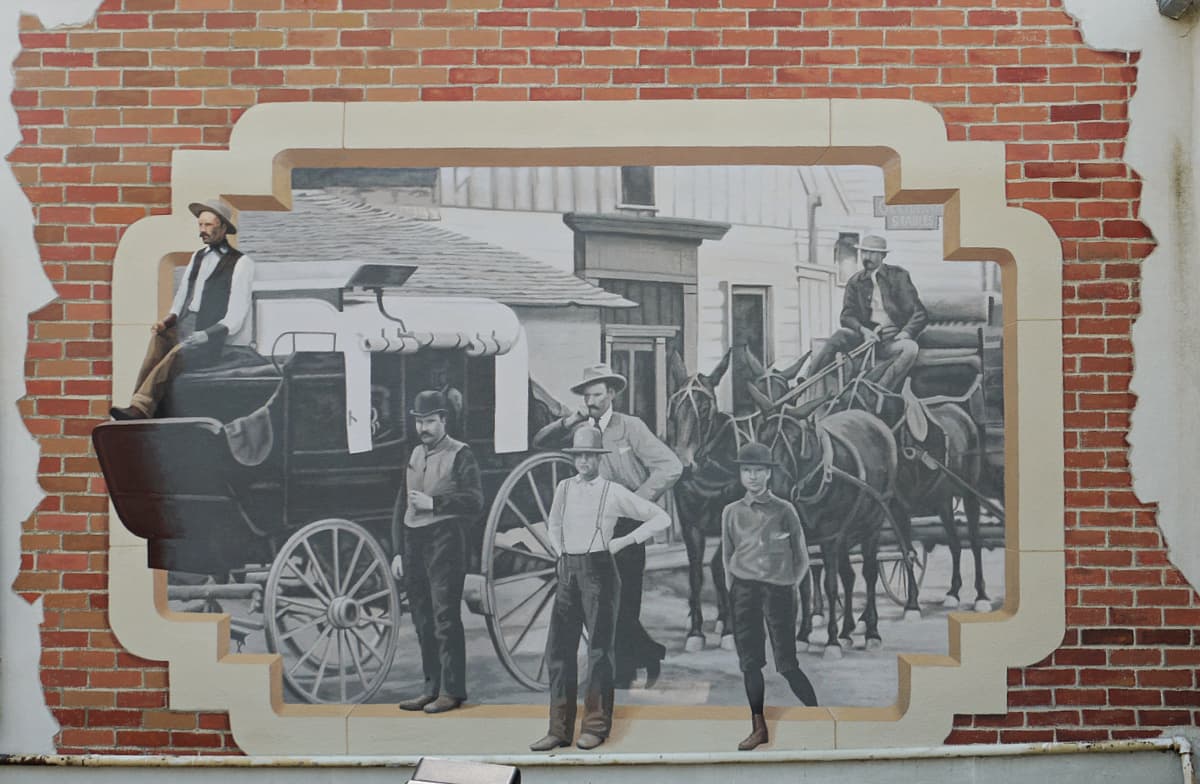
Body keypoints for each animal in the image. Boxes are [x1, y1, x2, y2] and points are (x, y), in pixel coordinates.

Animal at [748, 388, 916, 657]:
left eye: (795, 440)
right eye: (762, 438)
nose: (779, 491)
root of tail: (874, 421)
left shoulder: (829, 536)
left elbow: (830, 585)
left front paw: (832, 641)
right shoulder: (804, 538)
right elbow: (805, 586)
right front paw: (803, 635)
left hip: (873, 522)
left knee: (874, 570)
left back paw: (875, 629)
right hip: (846, 533)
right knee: (849, 576)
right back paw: (847, 630)